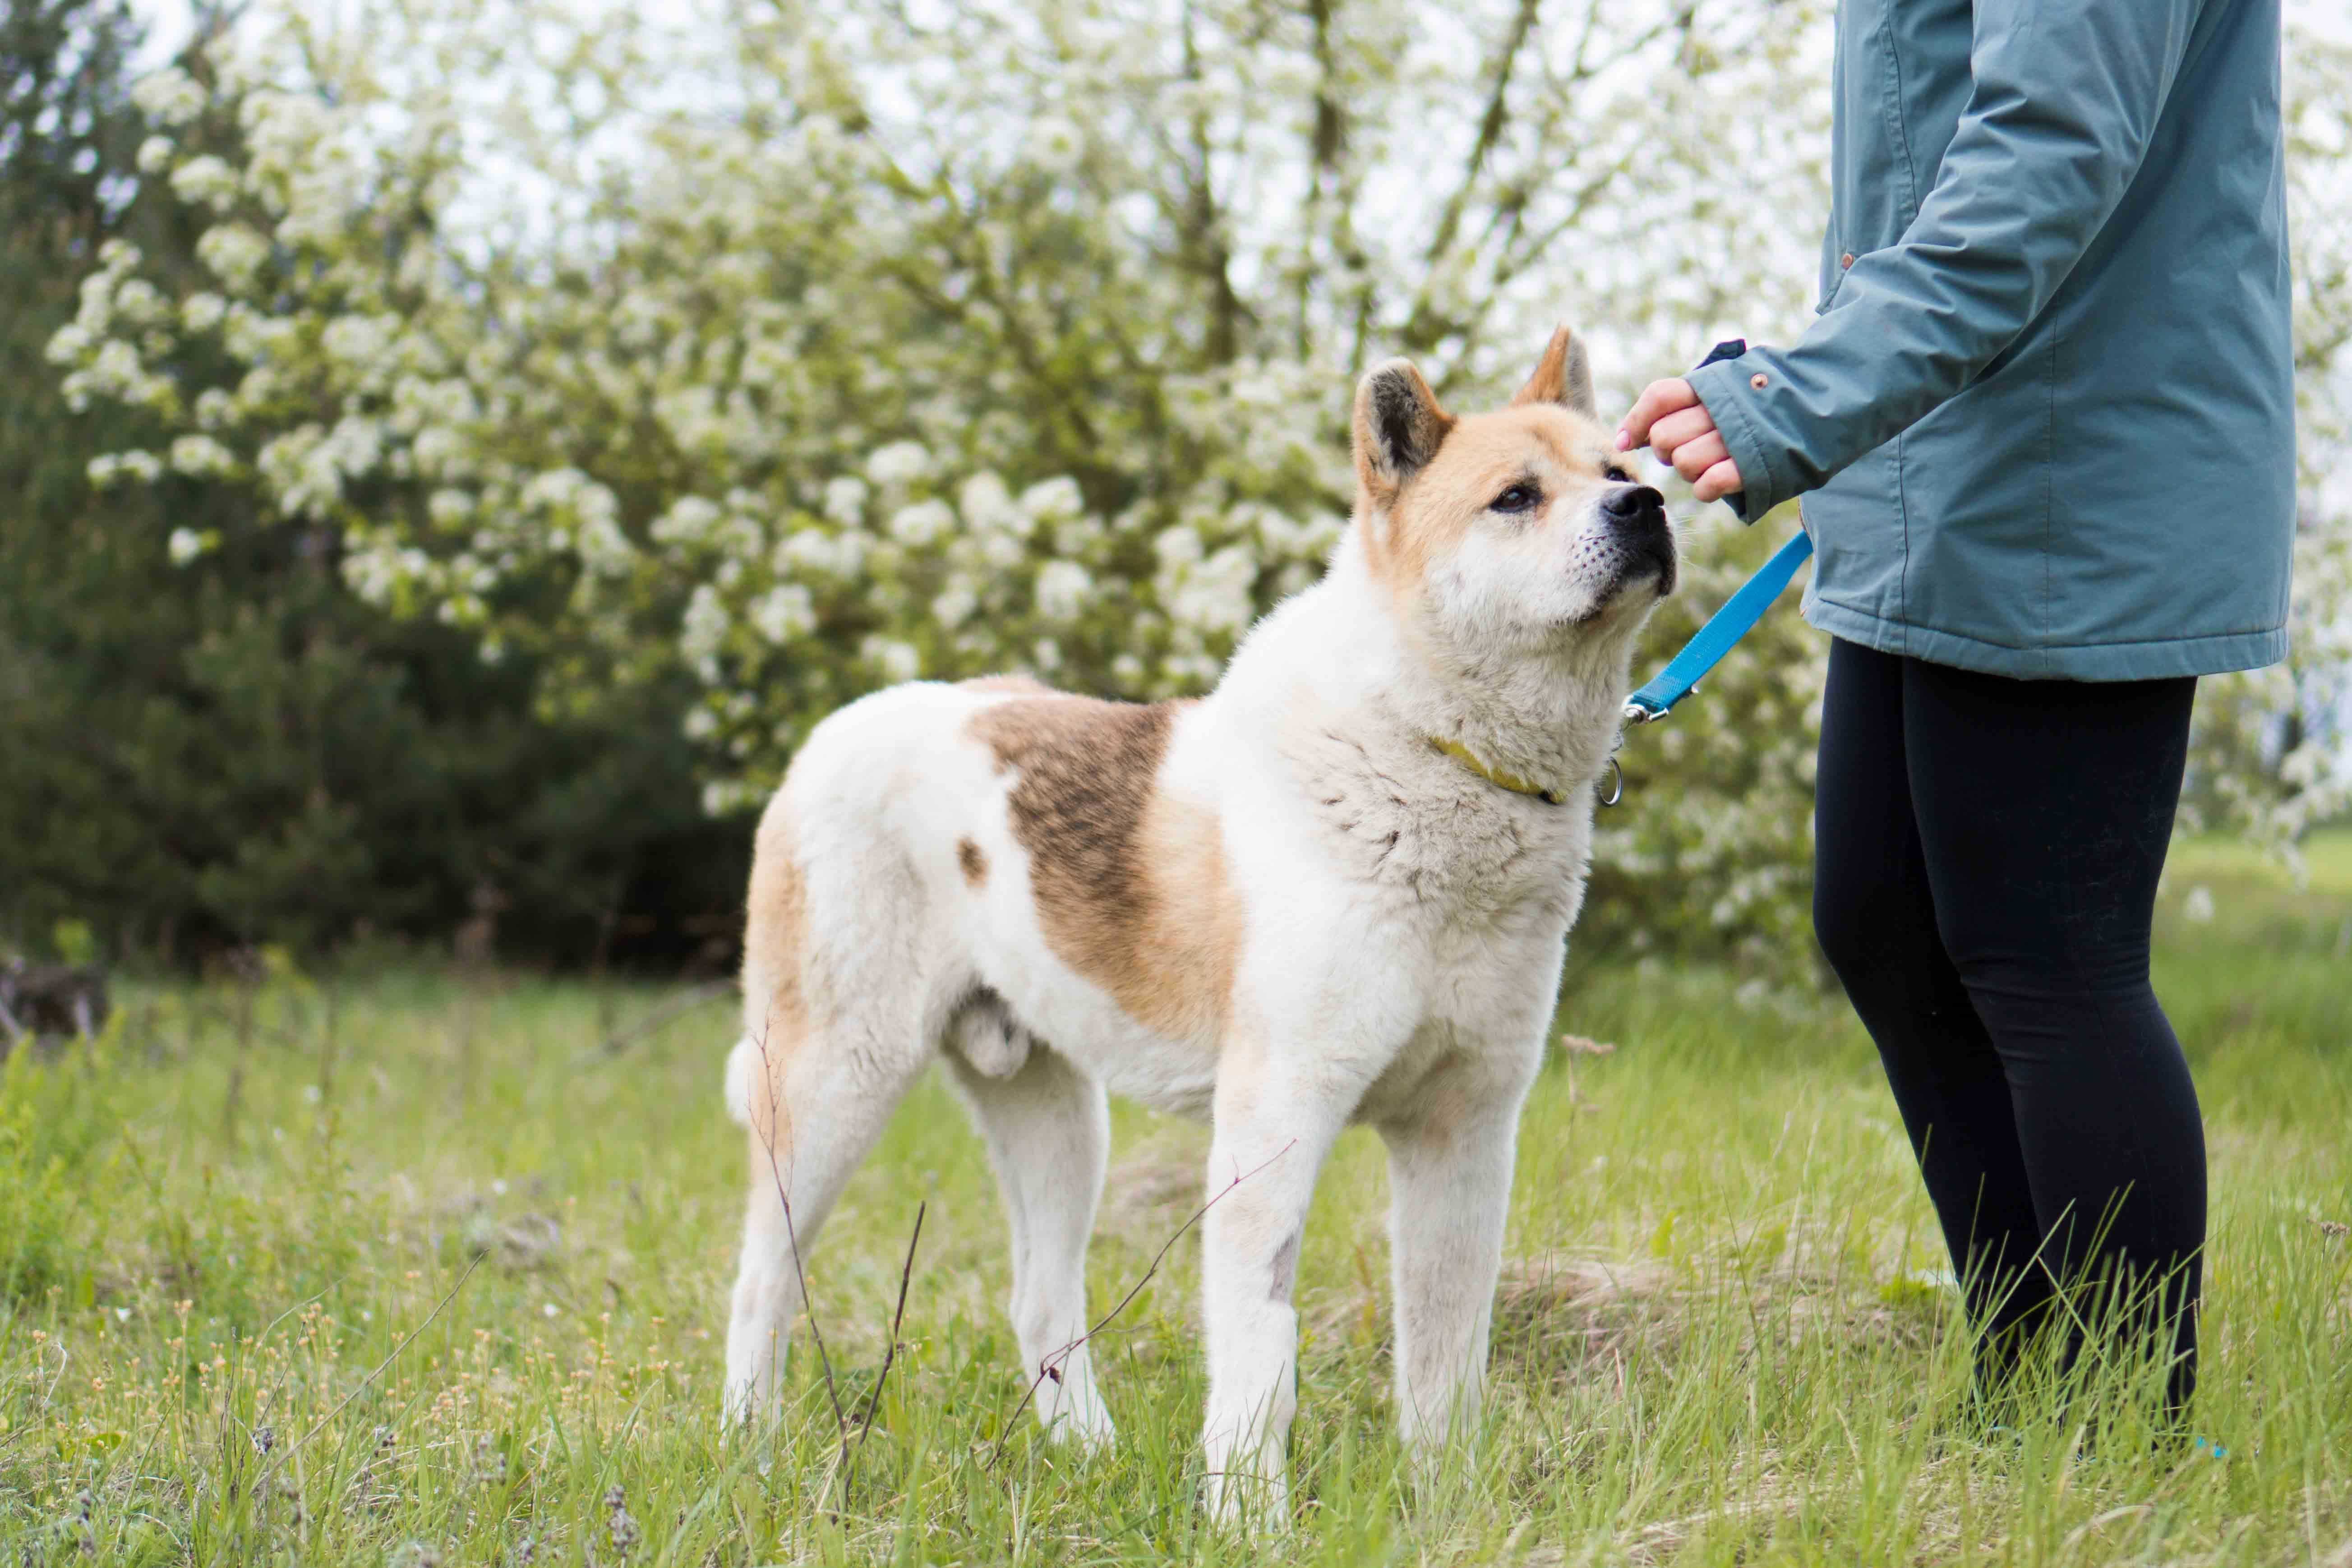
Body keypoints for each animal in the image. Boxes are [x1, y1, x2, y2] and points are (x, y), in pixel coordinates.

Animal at [715, 331, 1674, 1523]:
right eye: (1515, 498)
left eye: (1619, 468)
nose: (1645, 505)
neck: (1430, 754)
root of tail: (828, 736)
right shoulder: (1274, 1123)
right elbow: (1264, 1351)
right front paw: (1249, 1519)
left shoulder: (1467, 1132)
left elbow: (1446, 1351)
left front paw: (1444, 1503)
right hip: (834, 1086)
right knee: (762, 1281)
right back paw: (749, 1456)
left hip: (1058, 1117)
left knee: (1039, 1300)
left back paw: (1089, 1459)